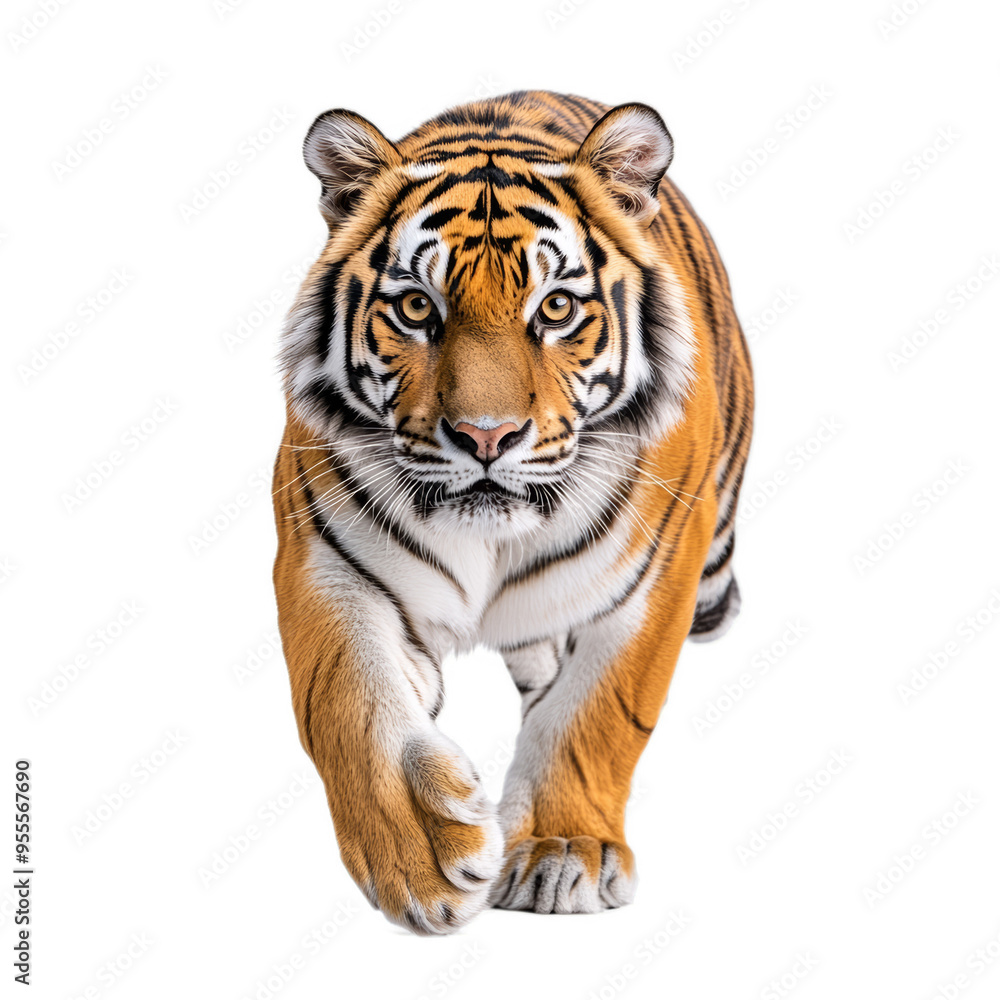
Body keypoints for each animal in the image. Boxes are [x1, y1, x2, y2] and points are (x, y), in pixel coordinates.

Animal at [272, 90, 753, 935]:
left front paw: (563, 851)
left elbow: (592, 717)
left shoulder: (654, 580)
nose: (486, 437)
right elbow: (348, 699)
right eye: (415, 307)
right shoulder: (322, 560)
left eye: (555, 307)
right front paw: (423, 860)